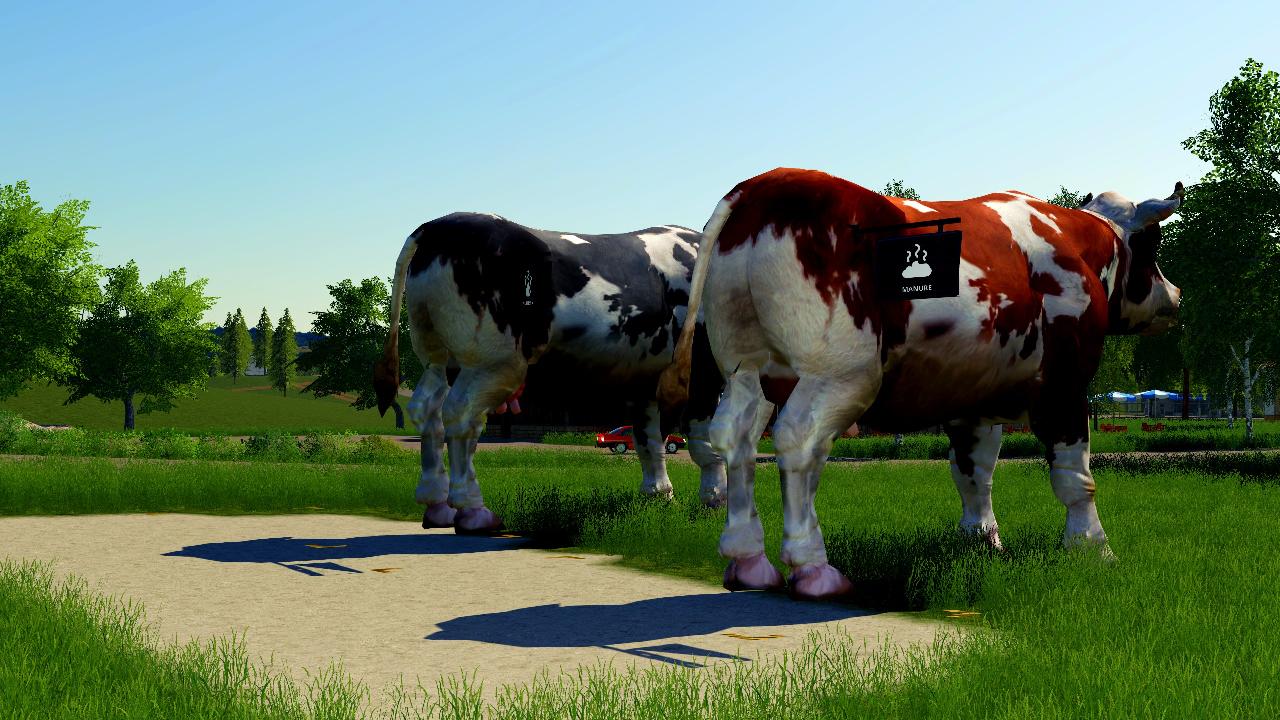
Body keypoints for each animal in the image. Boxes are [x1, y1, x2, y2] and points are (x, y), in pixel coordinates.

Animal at [373, 210, 727, 530]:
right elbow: (706, 444)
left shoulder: (645, 379)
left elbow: (648, 442)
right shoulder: (703, 374)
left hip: (439, 355)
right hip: (492, 360)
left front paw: (660, 498)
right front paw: (715, 503)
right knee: (461, 417)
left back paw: (436, 506)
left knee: (426, 410)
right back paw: (473, 511)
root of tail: (435, 227)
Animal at [665, 165, 1182, 597]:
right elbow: (1076, 478)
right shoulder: (1065, 386)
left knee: (736, 437)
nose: (1176, 294)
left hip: (748, 368)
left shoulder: (972, 399)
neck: (1070, 242)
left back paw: (748, 561)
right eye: (1153, 244)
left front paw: (981, 541)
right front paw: (1092, 548)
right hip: (837, 373)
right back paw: (813, 568)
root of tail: (765, 183)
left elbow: (973, 472)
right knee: (799, 441)